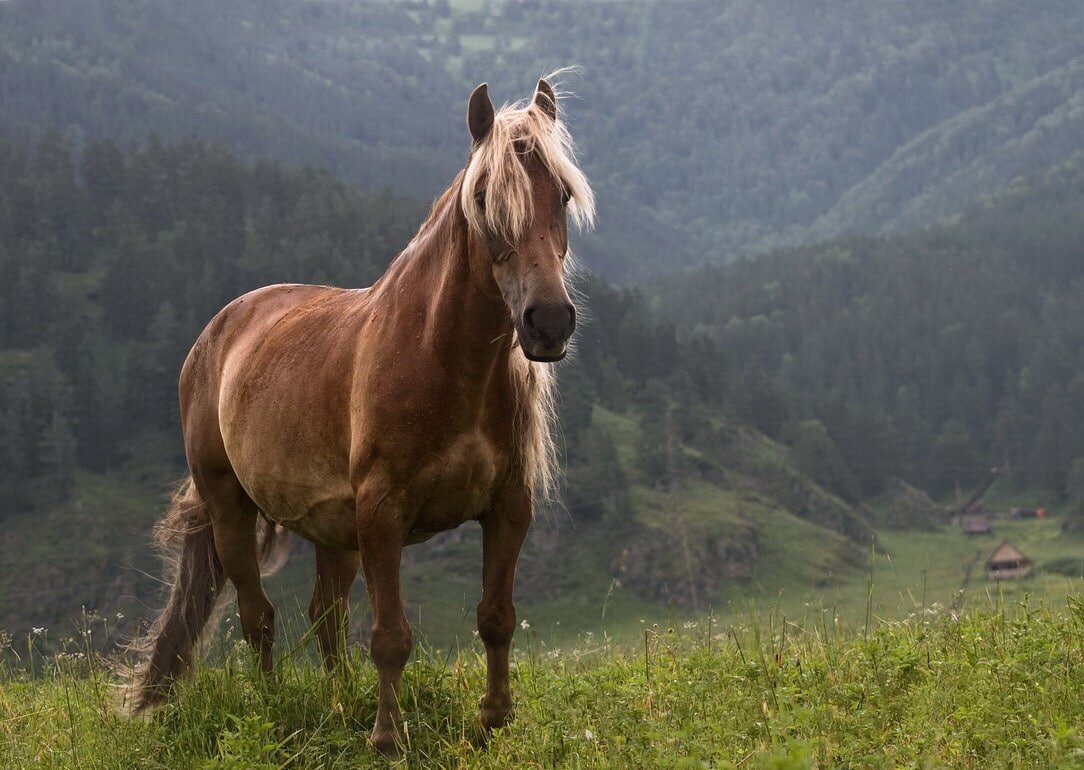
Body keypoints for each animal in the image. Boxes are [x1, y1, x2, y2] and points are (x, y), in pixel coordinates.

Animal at [128, 79, 602, 759]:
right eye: (485, 197)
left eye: (561, 194)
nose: (549, 321)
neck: (442, 362)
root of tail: (217, 332)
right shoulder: (383, 512)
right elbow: (390, 637)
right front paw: (388, 738)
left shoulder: (509, 506)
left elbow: (496, 617)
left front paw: (493, 721)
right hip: (230, 506)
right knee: (258, 615)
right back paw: (273, 707)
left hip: (334, 530)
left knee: (325, 618)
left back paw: (337, 703)